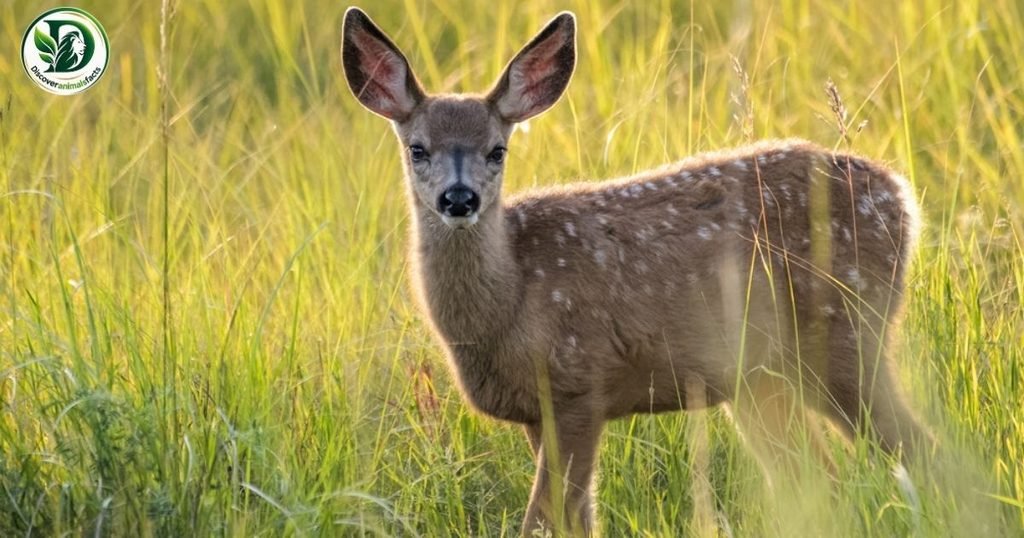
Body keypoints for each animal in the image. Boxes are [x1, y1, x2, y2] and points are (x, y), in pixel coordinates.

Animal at [341, 7, 932, 536]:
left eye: (497, 150)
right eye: (418, 149)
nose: (459, 198)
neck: (510, 300)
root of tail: (902, 196)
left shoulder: (578, 383)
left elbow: (545, 519)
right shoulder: (537, 412)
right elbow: (576, 520)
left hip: (846, 331)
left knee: (919, 449)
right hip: (760, 378)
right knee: (815, 480)